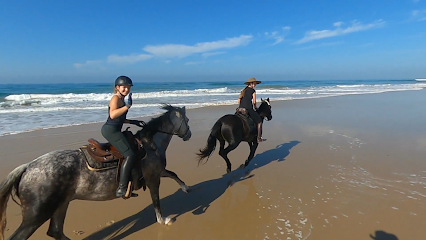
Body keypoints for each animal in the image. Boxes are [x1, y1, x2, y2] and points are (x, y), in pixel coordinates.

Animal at [0, 104, 191, 240]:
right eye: (187, 120)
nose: (189, 135)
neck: (149, 144)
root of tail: (27, 167)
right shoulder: (153, 178)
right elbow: (156, 201)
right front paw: (164, 220)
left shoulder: (158, 172)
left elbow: (173, 174)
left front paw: (186, 188)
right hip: (36, 214)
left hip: (61, 205)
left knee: (55, 231)